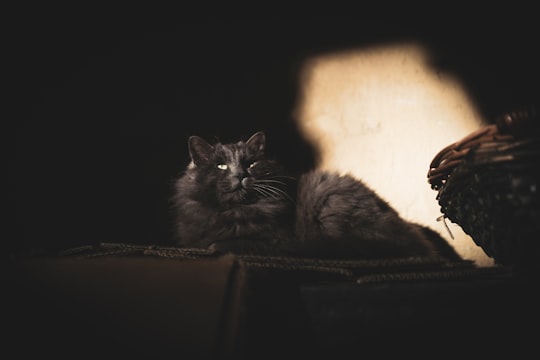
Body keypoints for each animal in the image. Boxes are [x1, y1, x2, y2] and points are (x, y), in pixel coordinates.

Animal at [172, 131, 460, 260]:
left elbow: (230, 243)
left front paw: (218, 245)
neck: (235, 211)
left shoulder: (278, 240)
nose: (241, 175)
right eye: (221, 166)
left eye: (251, 164)